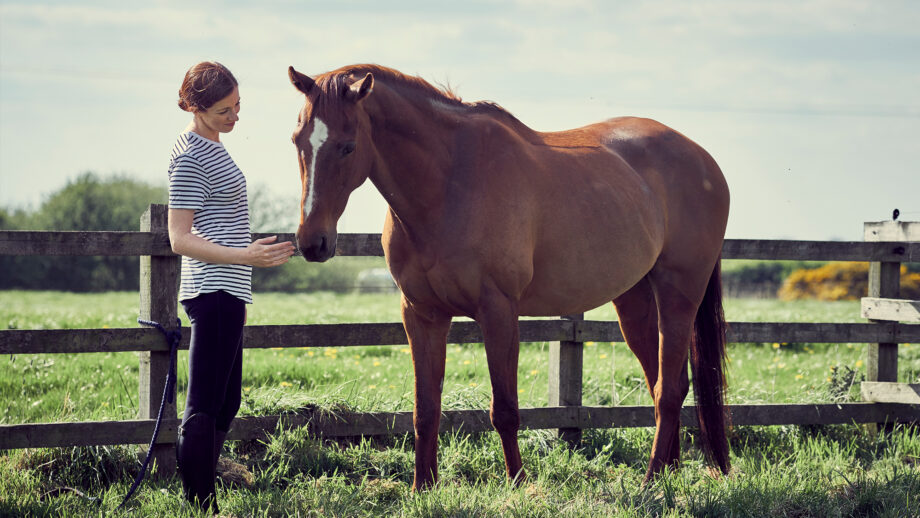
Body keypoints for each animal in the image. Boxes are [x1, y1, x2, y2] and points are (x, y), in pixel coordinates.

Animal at [287, 63, 731, 489]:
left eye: (348, 146)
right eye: (297, 141)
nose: (312, 242)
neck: (449, 182)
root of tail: (704, 160)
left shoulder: (498, 311)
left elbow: (504, 410)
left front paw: (516, 484)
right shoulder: (421, 315)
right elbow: (425, 410)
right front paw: (422, 488)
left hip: (679, 294)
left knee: (670, 391)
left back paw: (651, 481)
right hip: (635, 302)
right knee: (663, 383)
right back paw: (668, 473)